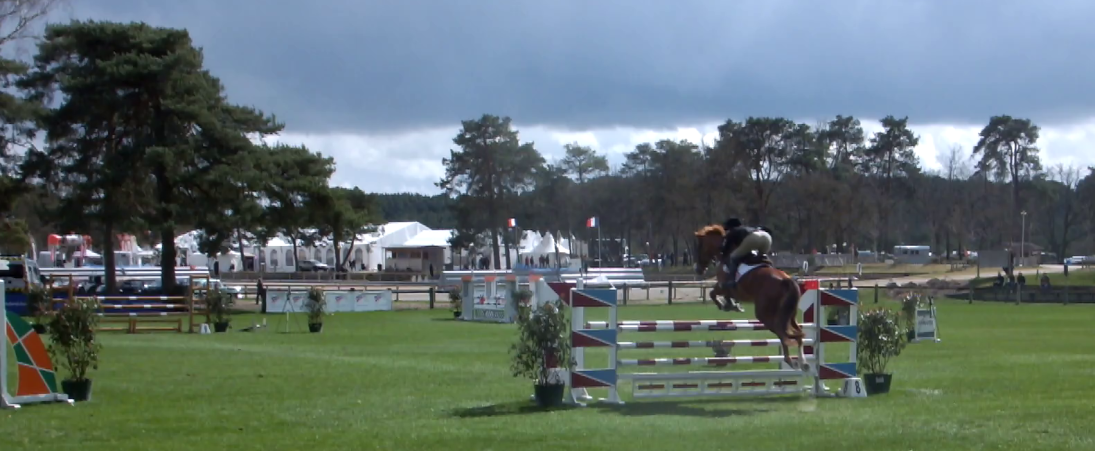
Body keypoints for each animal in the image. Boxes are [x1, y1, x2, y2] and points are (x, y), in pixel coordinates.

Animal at [692, 224, 809, 370]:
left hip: (764, 314)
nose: (698, 269)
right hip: (789, 314)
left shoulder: (723, 285)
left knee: (782, 333)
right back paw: (803, 362)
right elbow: (723, 295)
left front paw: (724, 305)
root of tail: (786, 280)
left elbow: (713, 293)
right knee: (796, 333)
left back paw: (790, 361)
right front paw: (733, 305)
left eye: (699, 247)